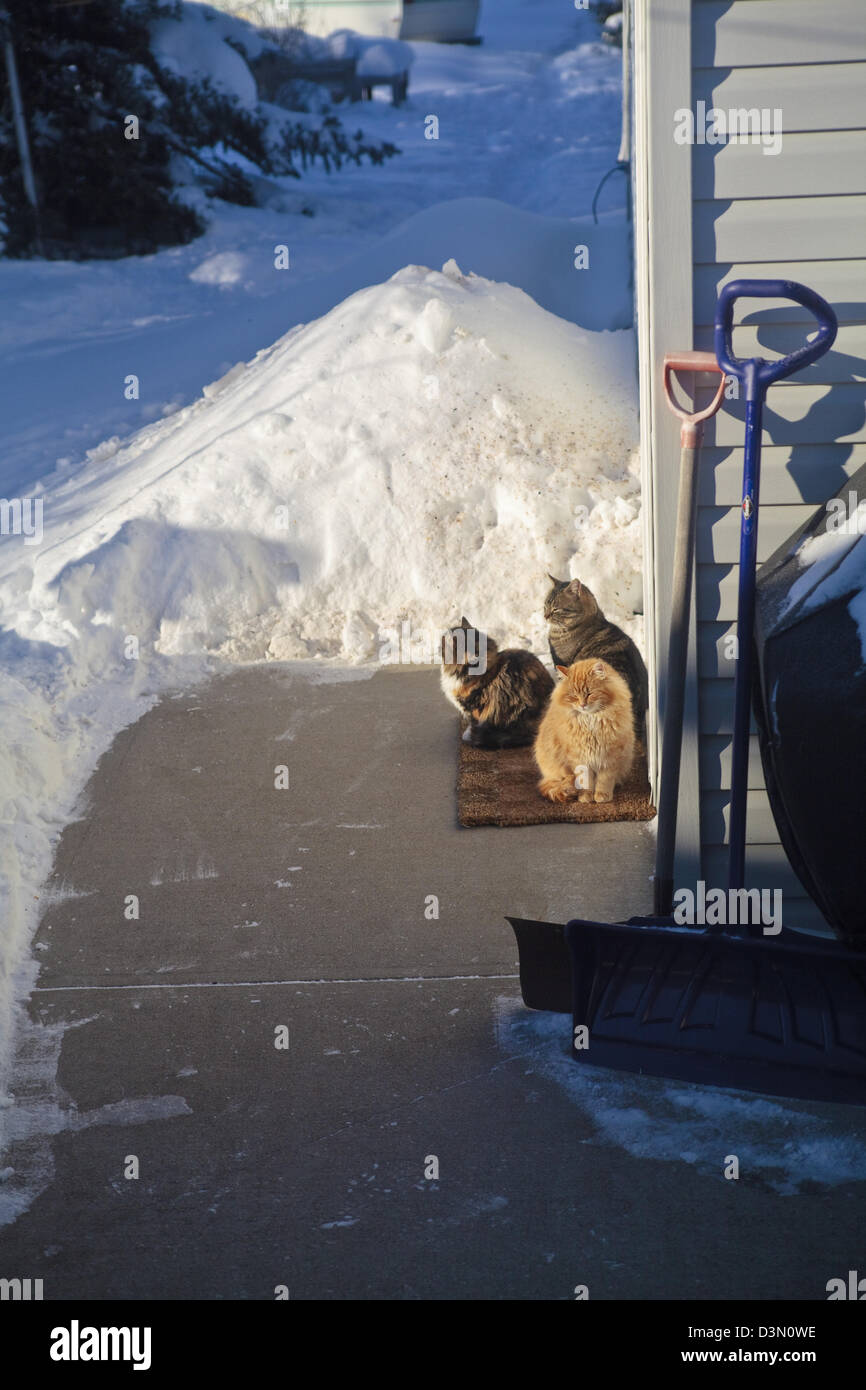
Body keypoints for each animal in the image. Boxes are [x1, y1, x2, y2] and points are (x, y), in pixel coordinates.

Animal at [536, 658, 636, 806]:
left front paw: (602, 796)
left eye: (589, 693)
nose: (583, 705)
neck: (589, 720)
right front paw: (586, 797)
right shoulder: (578, 756)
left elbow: (604, 780)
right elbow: (585, 780)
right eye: (574, 696)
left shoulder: (610, 755)